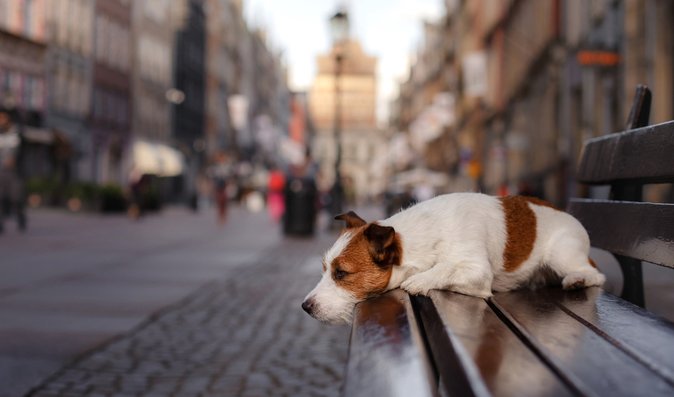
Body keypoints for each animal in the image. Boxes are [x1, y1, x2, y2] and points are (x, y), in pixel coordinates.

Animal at [300, 193, 604, 324]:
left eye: (341, 273)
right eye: (325, 269)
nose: (305, 306)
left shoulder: (478, 270)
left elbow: (445, 268)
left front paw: (420, 280)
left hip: (561, 253)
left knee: (595, 273)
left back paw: (577, 279)